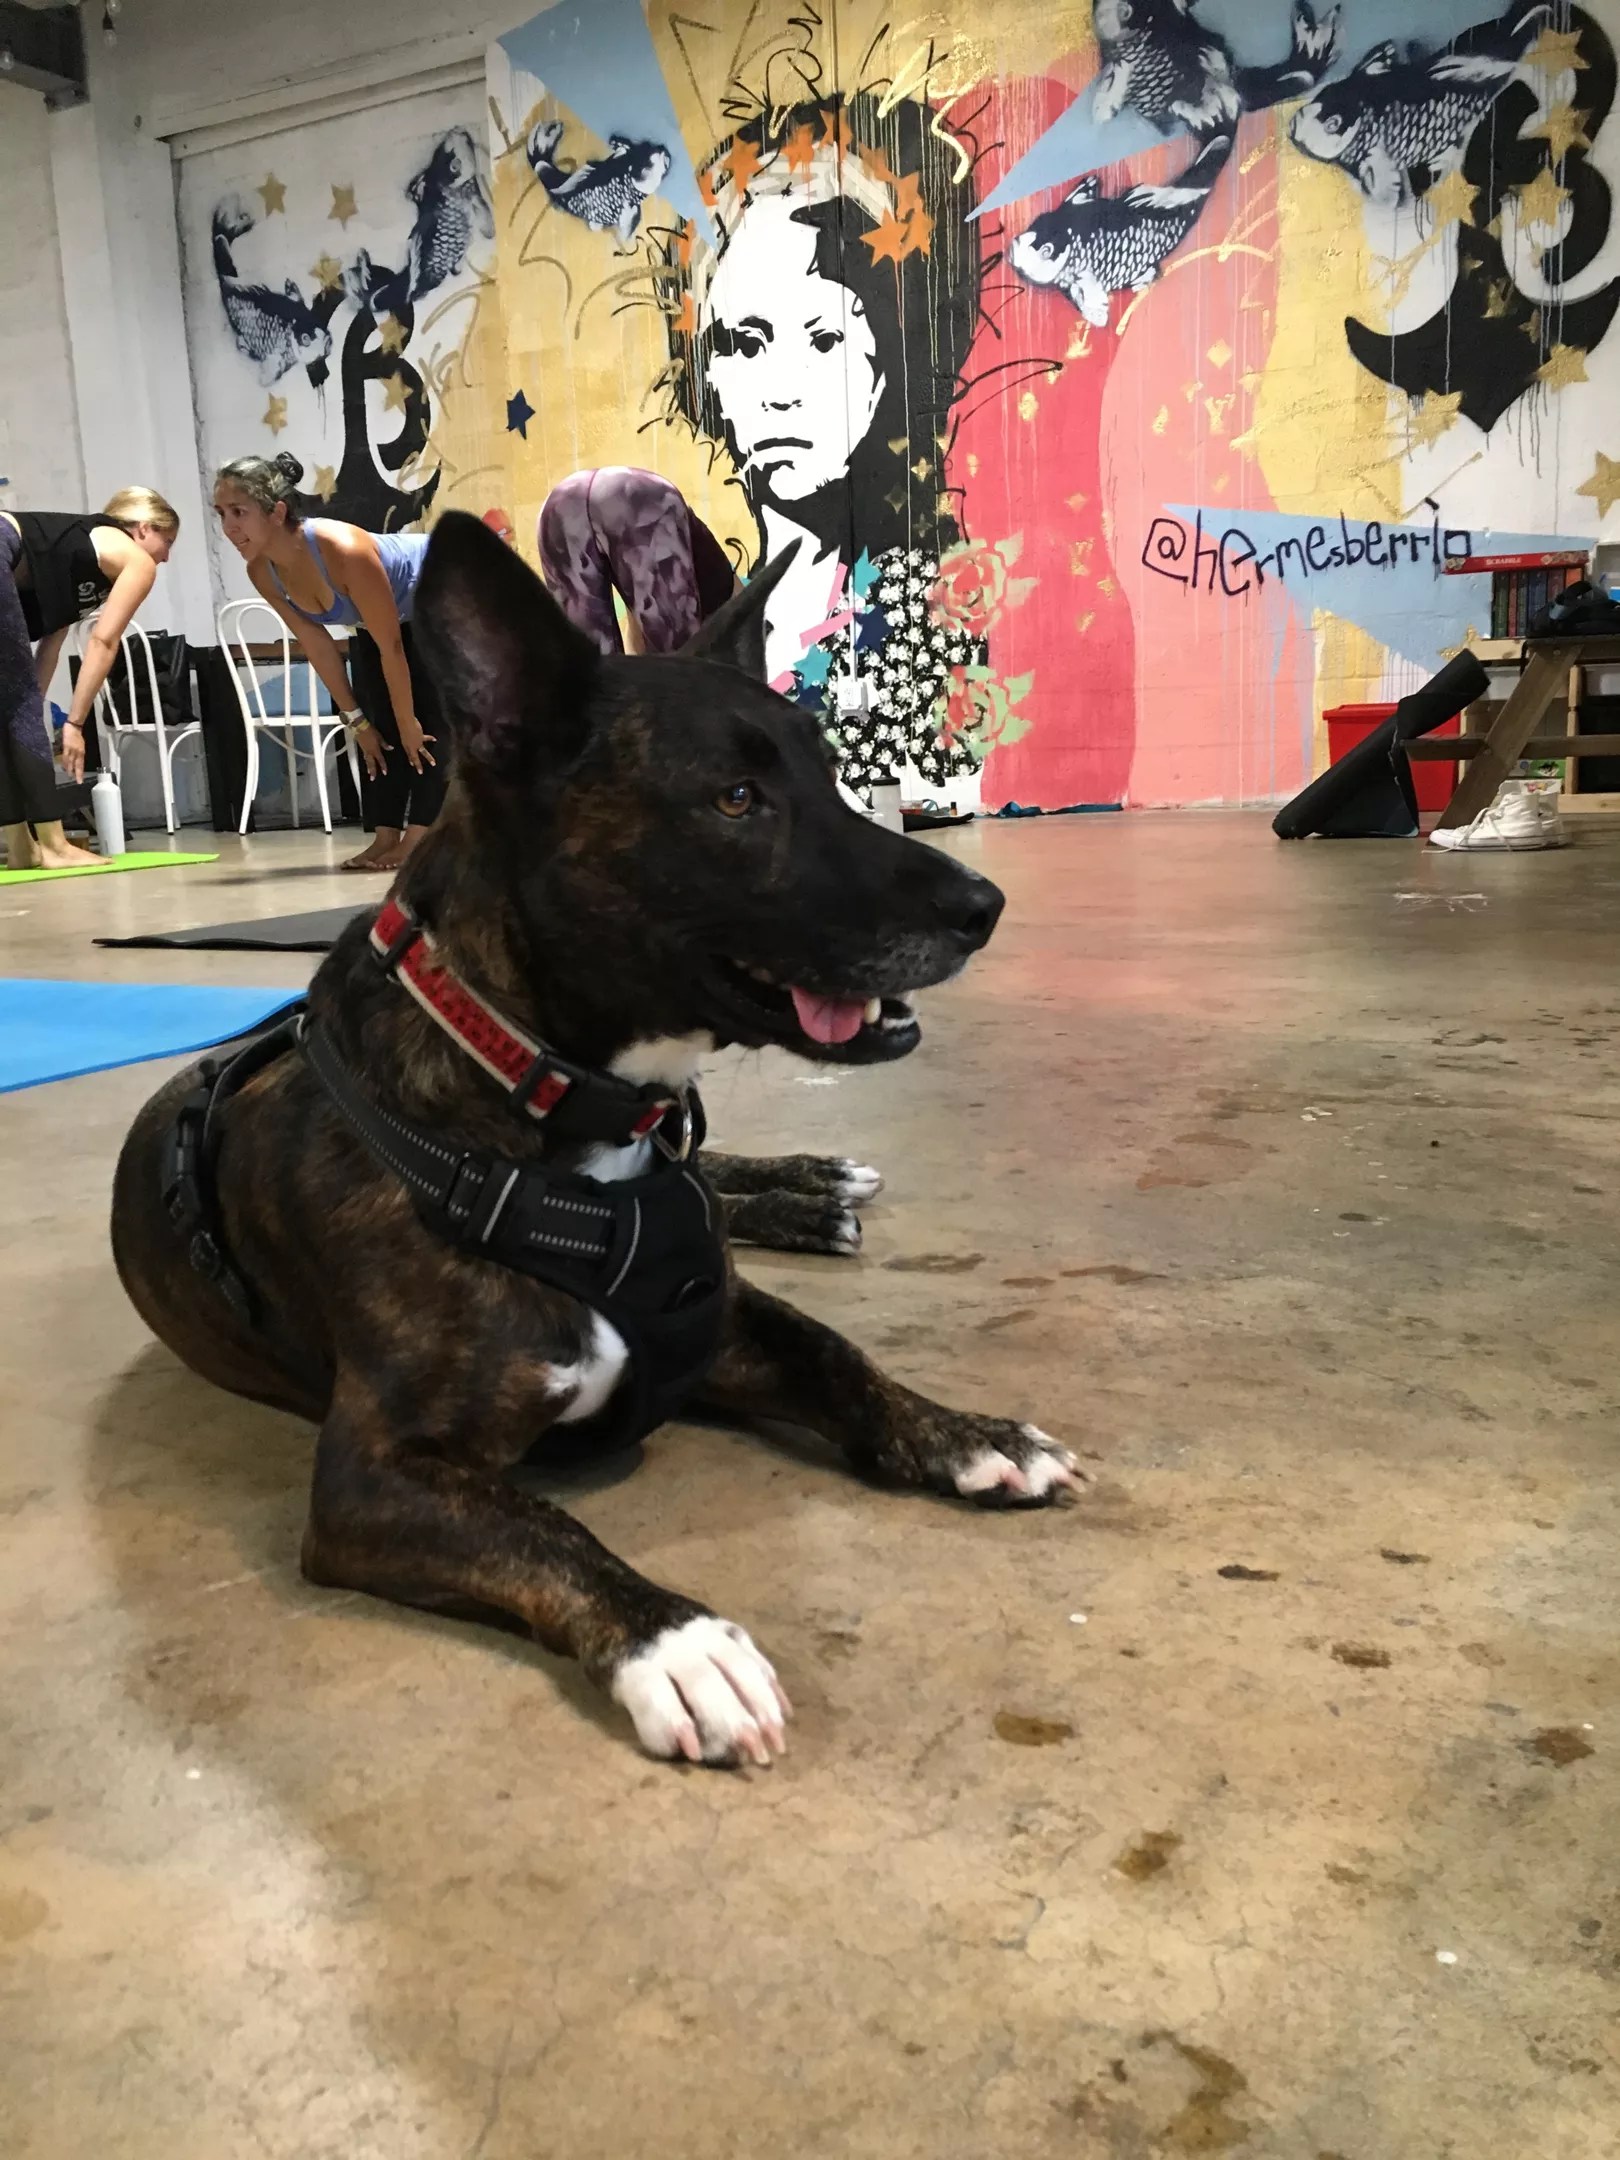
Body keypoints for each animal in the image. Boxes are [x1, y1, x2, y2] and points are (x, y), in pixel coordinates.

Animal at [112, 515, 1081, 1767]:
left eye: (826, 777)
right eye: (735, 801)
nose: (982, 907)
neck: (548, 1104)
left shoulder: (716, 1309)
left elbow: (838, 1356)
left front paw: (967, 1434)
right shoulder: (373, 1480)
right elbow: (545, 1529)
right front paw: (675, 1643)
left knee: (724, 1178)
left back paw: (811, 1186)